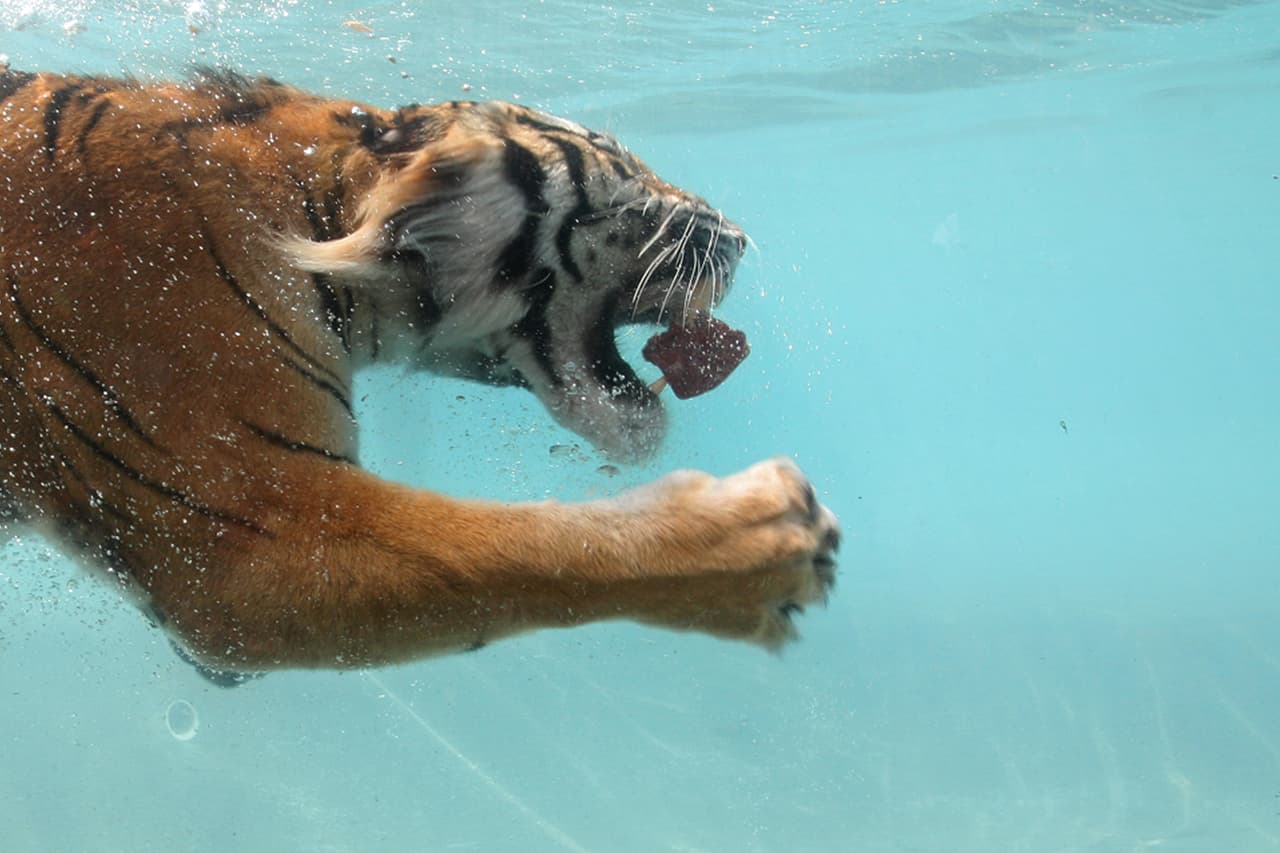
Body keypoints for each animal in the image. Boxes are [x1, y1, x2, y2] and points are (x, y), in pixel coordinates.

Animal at [0, 69, 840, 682]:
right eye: (626, 167)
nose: (739, 237)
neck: (310, 209)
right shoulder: (251, 531)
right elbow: (513, 550)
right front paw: (763, 535)